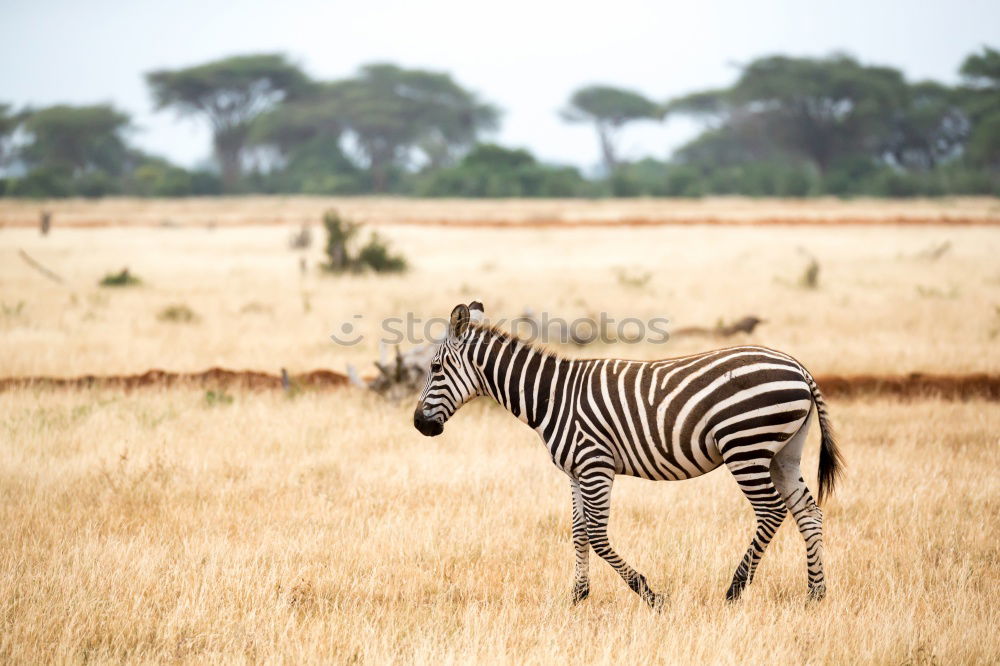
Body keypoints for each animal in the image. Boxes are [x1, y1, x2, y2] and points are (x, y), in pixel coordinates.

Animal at [414, 302, 844, 608]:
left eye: (435, 368)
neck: (551, 397)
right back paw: (815, 594)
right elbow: (578, 532)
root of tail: (798, 367)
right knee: (808, 511)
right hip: (783, 452)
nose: (419, 425)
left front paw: (650, 595)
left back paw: (735, 590)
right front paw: (577, 596)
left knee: (771, 511)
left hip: (746, 446)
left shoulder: (595, 465)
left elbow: (597, 535)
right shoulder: (575, 471)